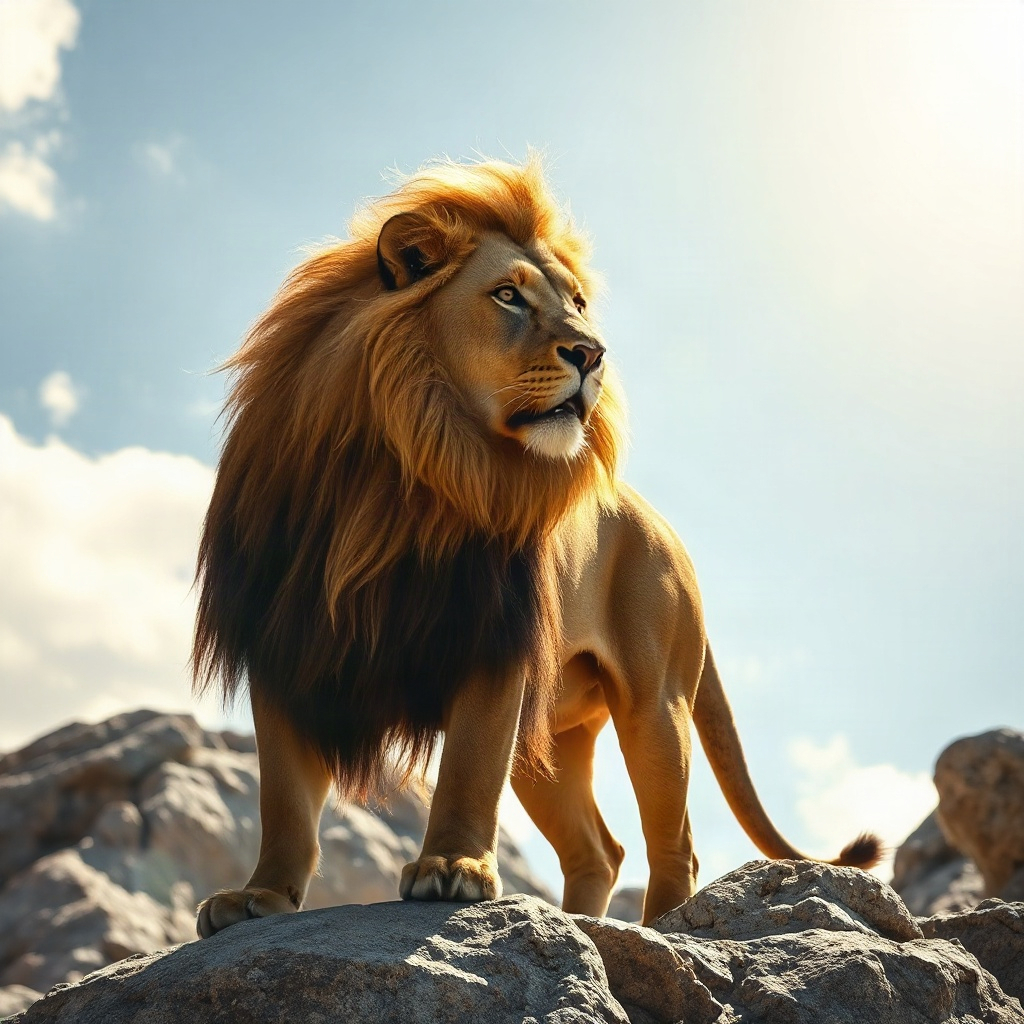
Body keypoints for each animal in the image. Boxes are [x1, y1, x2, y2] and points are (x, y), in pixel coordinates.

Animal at [192, 158, 880, 935]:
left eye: (578, 303)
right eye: (508, 295)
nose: (592, 352)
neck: (401, 472)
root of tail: (659, 522)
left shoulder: (492, 640)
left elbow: (466, 769)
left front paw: (453, 869)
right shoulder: (282, 638)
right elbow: (283, 799)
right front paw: (259, 898)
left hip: (655, 705)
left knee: (674, 842)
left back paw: (664, 930)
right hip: (549, 738)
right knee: (599, 850)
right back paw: (586, 926)